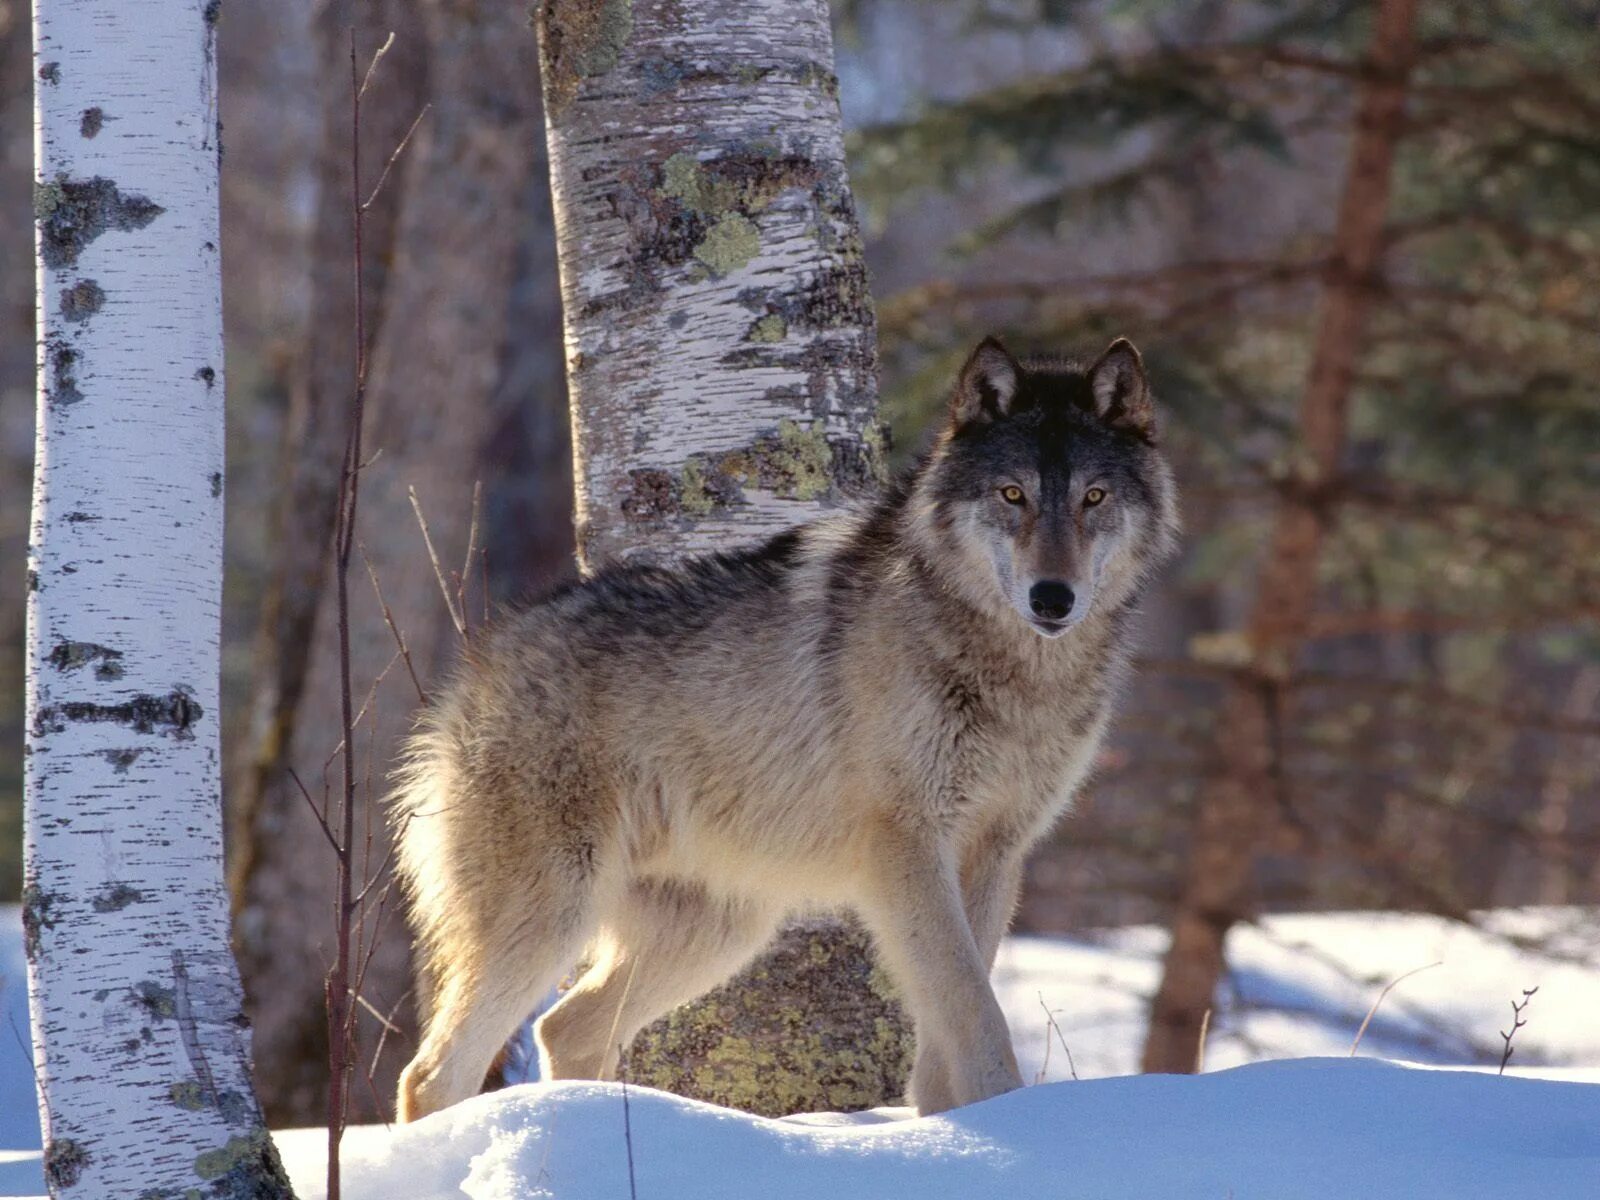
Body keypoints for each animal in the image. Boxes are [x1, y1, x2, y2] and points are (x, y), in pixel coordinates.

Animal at [395, 334, 1184, 1126]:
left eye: (1093, 497)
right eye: (1012, 495)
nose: (1052, 598)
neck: (1015, 676)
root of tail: (473, 666)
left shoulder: (995, 854)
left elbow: (951, 1028)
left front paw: (950, 1131)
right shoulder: (906, 848)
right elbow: (976, 1013)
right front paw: (1002, 1126)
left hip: (721, 933)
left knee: (564, 1028)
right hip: (555, 915)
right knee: (431, 1074)